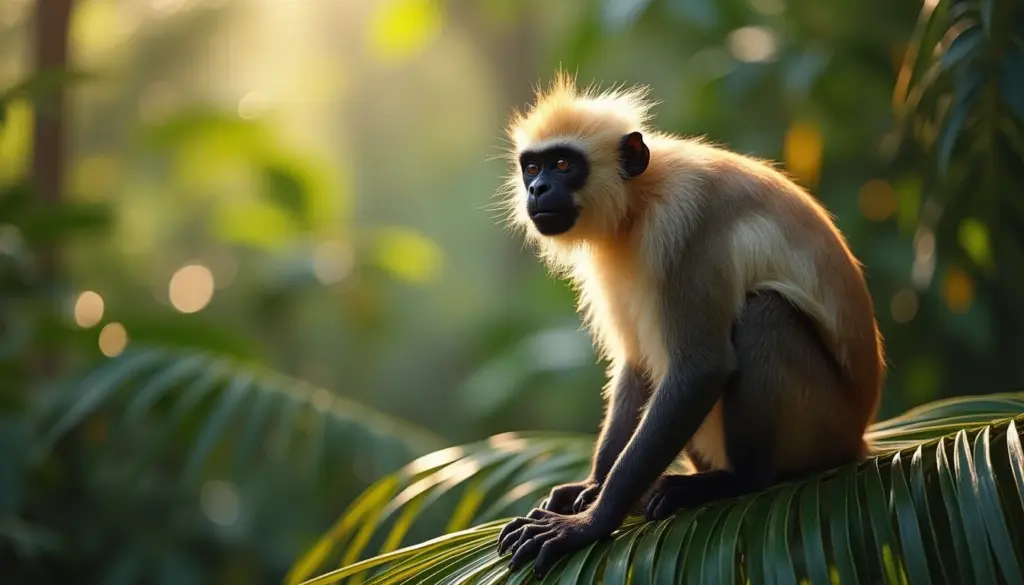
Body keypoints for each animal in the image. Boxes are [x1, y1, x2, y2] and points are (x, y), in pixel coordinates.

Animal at [492, 71, 885, 577]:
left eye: (562, 165)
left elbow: (700, 369)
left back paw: (736, 481)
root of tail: (857, 434)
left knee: (766, 311)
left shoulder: (685, 226)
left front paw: (588, 525)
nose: (537, 191)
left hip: (824, 423)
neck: (638, 202)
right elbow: (637, 364)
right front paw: (592, 487)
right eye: (532, 168)